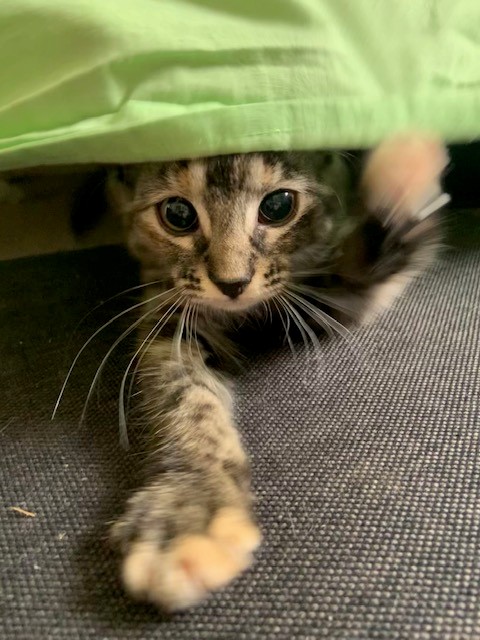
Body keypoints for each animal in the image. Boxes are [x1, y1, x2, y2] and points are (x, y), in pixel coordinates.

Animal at [78, 134, 448, 611]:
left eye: (278, 206)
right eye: (177, 215)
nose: (231, 283)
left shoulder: (320, 297)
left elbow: (358, 270)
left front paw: (401, 180)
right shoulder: (168, 320)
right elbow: (186, 399)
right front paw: (192, 505)